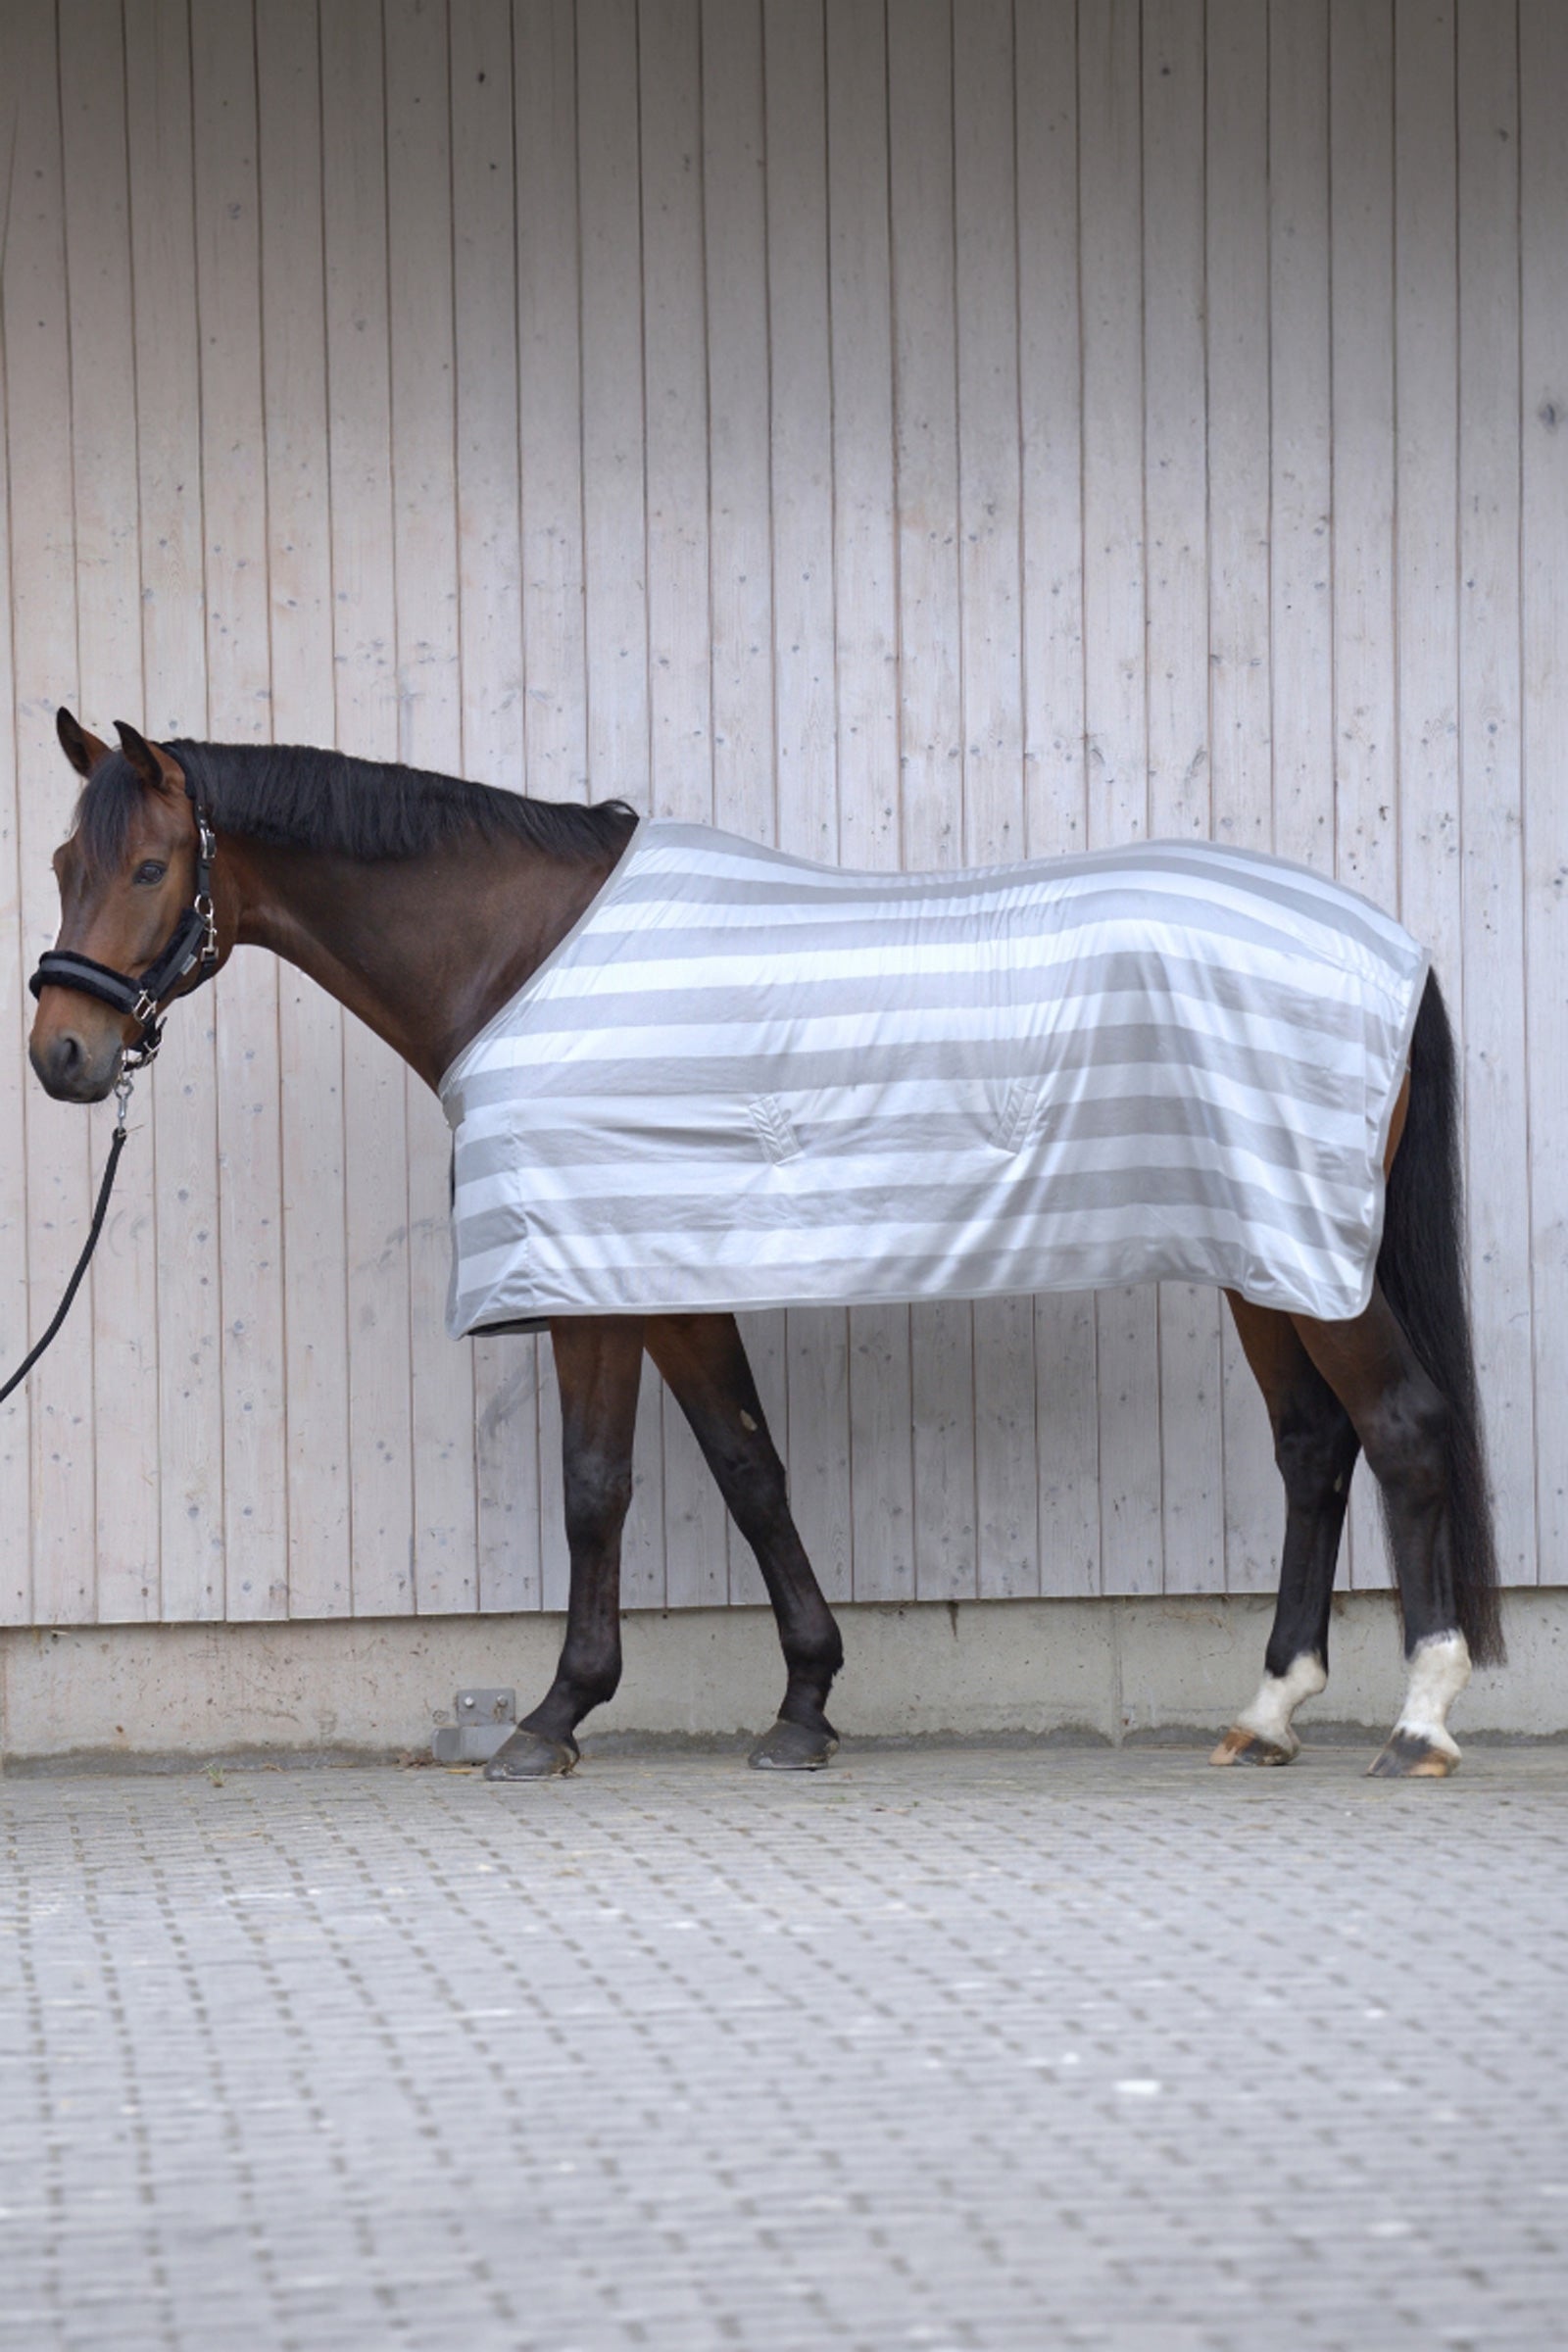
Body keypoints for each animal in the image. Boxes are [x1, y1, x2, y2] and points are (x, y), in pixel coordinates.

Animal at [27, 712, 1502, 1781]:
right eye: (60, 864)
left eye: (151, 866)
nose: (63, 1055)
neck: (518, 953)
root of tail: (1396, 949)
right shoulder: (666, 1279)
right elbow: (750, 1471)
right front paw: (803, 1707)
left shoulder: (591, 1285)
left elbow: (597, 1487)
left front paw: (551, 1720)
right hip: (1267, 1254)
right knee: (1315, 1449)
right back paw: (1270, 1711)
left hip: (1314, 1259)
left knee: (1406, 1427)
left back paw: (1419, 1721)